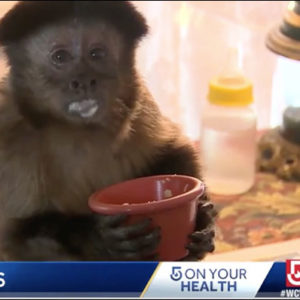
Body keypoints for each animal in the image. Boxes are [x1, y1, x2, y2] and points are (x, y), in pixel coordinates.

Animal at [0, 1, 216, 260]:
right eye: (60, 57)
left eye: (96, 54)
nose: (83, 80)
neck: (77, 130)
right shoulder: (9, 128)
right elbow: (18, 235)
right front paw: (100, 237)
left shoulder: (138, 102)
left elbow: (172, 151)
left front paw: (202, 218)